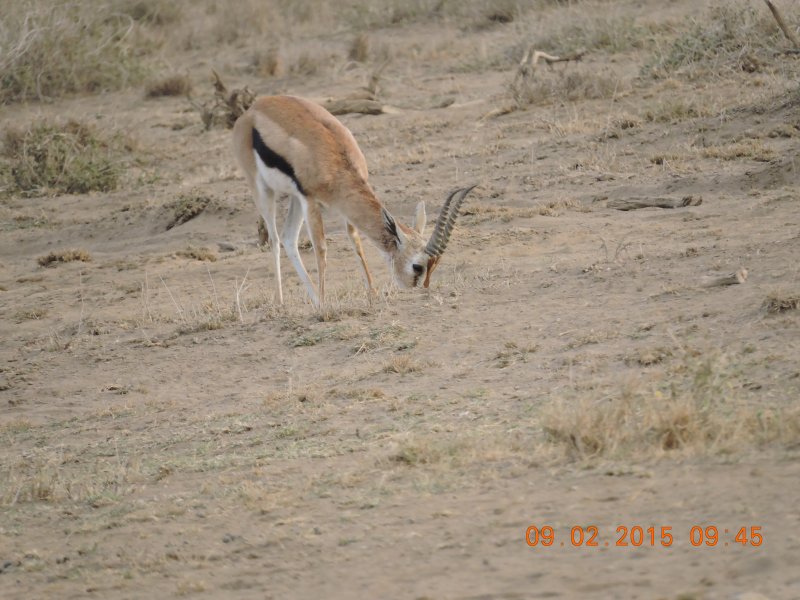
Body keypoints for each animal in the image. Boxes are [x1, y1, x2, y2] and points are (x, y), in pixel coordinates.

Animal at [232, 95, 475, 308]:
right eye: (417, 266)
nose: (416, 287)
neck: (338, 161)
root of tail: (254, 108)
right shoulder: (310, 200)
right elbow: (321, 249)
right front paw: (325, 306)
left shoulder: (342, 204)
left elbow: (355, 241)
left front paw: (372, 294)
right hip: (263, 191)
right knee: (274, 239)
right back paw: (282, 302)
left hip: (293, 198)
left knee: (288, 238)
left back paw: (313, 299)